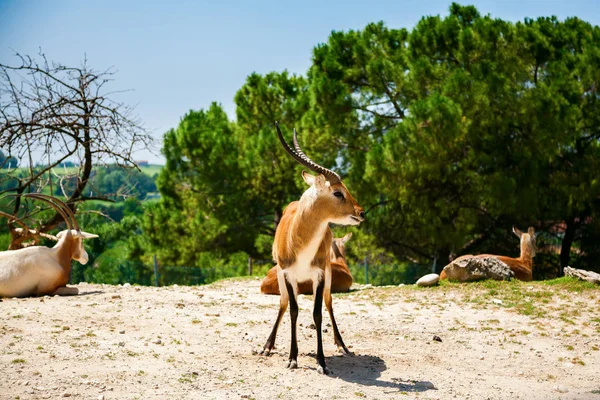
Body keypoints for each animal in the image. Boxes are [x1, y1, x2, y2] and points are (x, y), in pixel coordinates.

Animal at [258, 122, 366, 376]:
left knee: (328, 302)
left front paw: (322, 361)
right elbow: (293, 310)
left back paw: (342, 345)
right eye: (338, 192)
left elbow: (317, 313)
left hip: (325, 275)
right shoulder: (288, 274)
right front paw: (292, 358)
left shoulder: (319, 274)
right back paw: (268, 346)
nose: (361, 212)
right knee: (284, 303)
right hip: (282, 276)